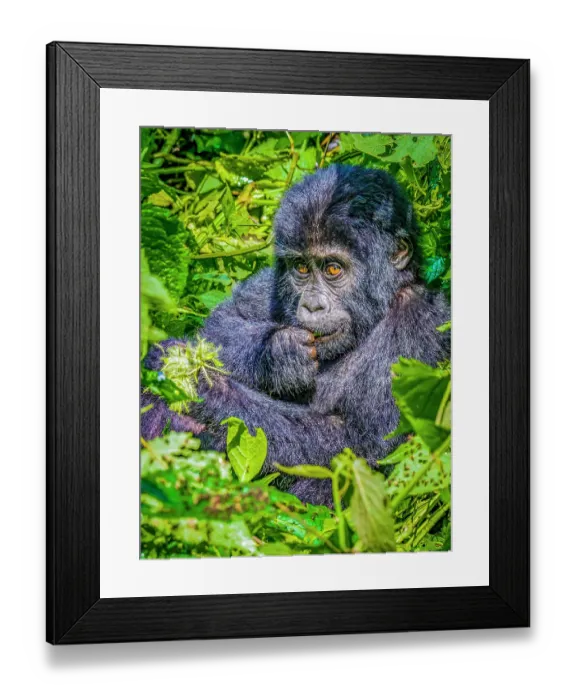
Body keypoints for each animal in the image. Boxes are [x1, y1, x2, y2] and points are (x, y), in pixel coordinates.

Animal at [142, 164, 450, 506]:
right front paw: (277, 355)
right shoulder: (276, 280)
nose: (312, 305)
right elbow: (222, 324)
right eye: (301, 268)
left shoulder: (416, 321)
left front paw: (196, 385)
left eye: (332, 269)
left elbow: (363, 447)